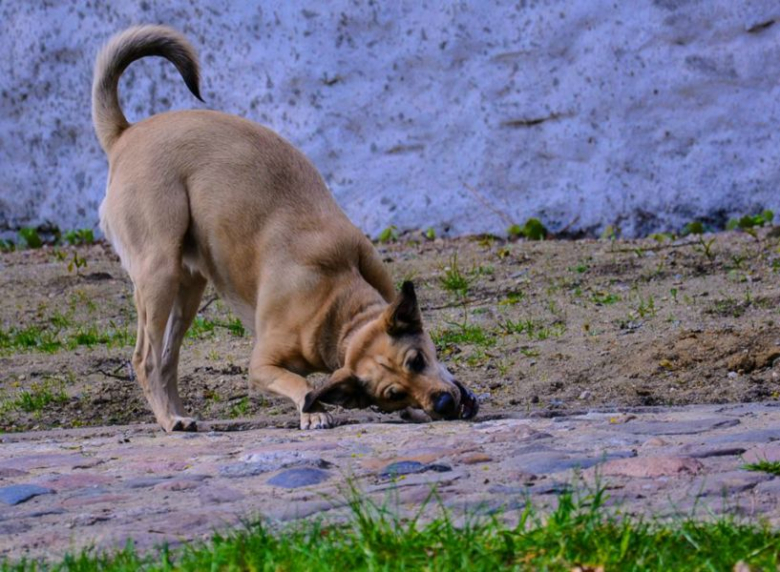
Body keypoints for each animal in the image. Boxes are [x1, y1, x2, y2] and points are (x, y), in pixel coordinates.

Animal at [93, 25, 478, 428]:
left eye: (417, 360)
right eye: (393, 393)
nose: (442, 404)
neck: (336, 312)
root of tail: (125, 134)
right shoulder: (262, 365)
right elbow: (301, 385)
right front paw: (314, 411)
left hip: (188, 287)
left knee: (167, 360)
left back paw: (178, 414)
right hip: (159, 274)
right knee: (145, 359)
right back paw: (169, 419)